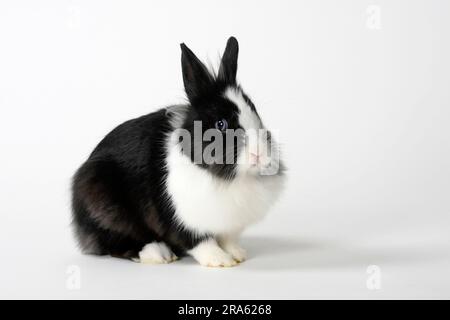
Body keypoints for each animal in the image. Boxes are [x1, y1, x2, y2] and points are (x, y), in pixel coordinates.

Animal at [72, 37, 286, 268]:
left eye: (255, 111)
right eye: (221, 124)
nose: (259, 155)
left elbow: (227, 238)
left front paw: (237, 255)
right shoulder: (179, 217)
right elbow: (199, 241)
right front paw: (220, 260)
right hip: (103, 203)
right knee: (114, 242)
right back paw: (157, 254)